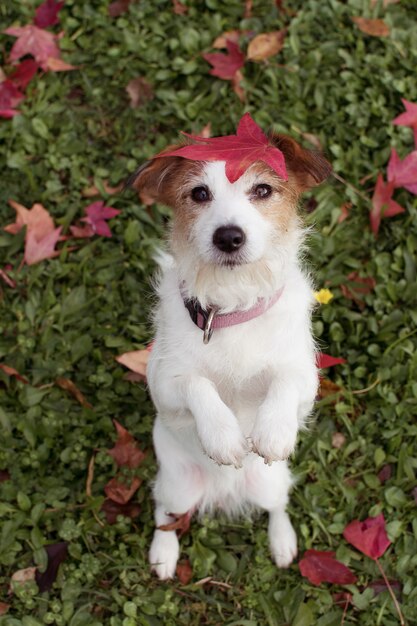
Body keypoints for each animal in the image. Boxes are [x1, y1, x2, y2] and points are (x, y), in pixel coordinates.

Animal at [132, 123, 330, 580]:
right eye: (199, 193)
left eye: (263, 189)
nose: (229, 236)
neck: (232, 308)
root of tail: (225, 494)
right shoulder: (164, 385)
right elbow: (198, 384)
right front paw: (223, 436)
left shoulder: (306, 379)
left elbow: (284, 381)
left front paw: (273, 430)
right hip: (176, 487)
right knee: (165, 515)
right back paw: (163, 554)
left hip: (271, 484)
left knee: (277, 509)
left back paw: (283, 543)